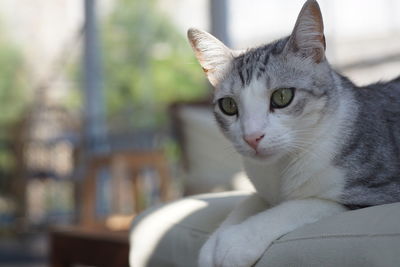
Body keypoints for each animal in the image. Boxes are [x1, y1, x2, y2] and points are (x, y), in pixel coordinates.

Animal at [188, 0, 400, 267]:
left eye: (282, 97)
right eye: (228, 105)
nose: (252, 137)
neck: (278, 172)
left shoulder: (380, 189)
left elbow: (302, 205)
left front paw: (234, 242)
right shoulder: (263, 189)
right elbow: (249, 200)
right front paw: (213, 244)